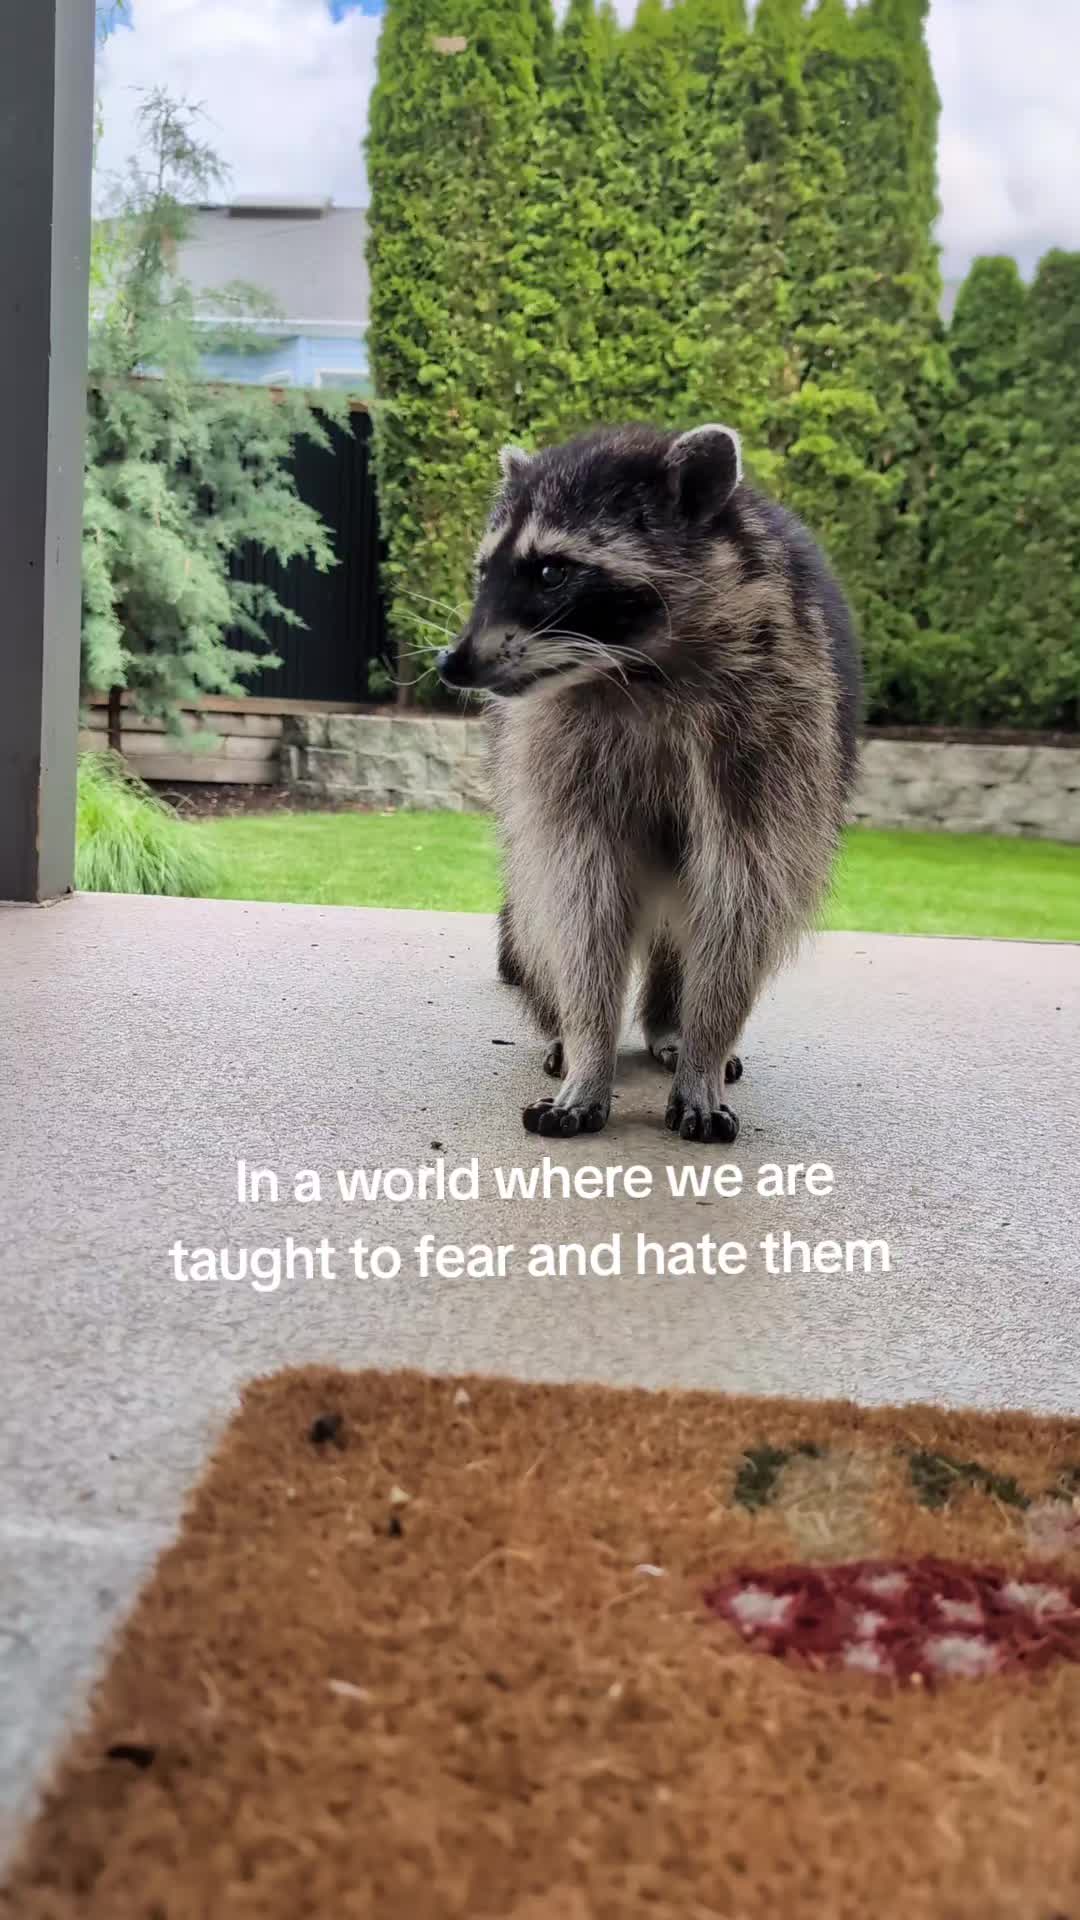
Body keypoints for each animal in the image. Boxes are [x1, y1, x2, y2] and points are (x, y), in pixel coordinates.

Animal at [437, 423, 861, 1142]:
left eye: (551, 571)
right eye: (483, 571)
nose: (451, 662)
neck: (637, 667)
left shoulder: (779, 728)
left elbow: (744, 897)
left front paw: (704, 1053)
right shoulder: (555, 748)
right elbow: (580, 902)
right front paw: (589, 1050)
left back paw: (671, 1023)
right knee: (539, 916)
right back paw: (563, 1027)